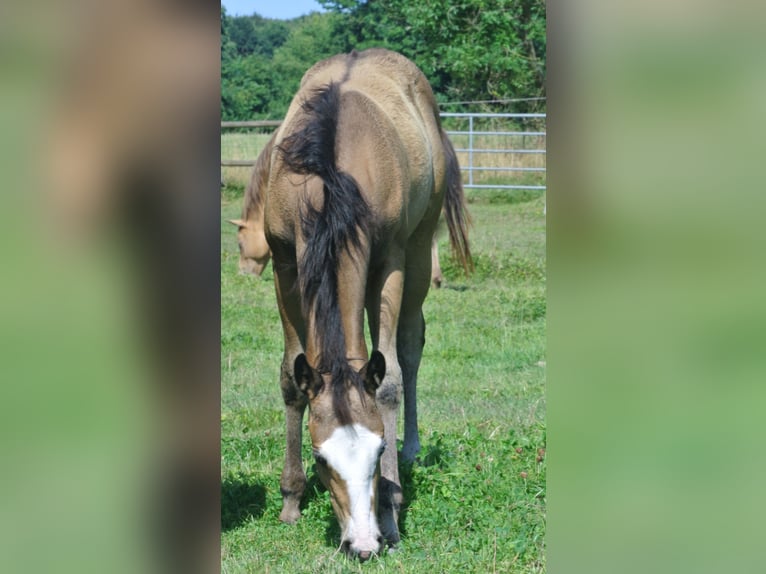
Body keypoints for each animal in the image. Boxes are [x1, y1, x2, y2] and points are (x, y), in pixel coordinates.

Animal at [234, 49, 474, 564]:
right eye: (321, 458)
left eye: (379, 449)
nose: (363, 545)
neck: (329, 177)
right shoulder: (286, 264)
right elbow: (291, 376)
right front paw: (291, 498)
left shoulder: (390, 260)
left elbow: (389, 382)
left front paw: (392, 507)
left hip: (418, 251)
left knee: (409, 344)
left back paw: (413, 447)